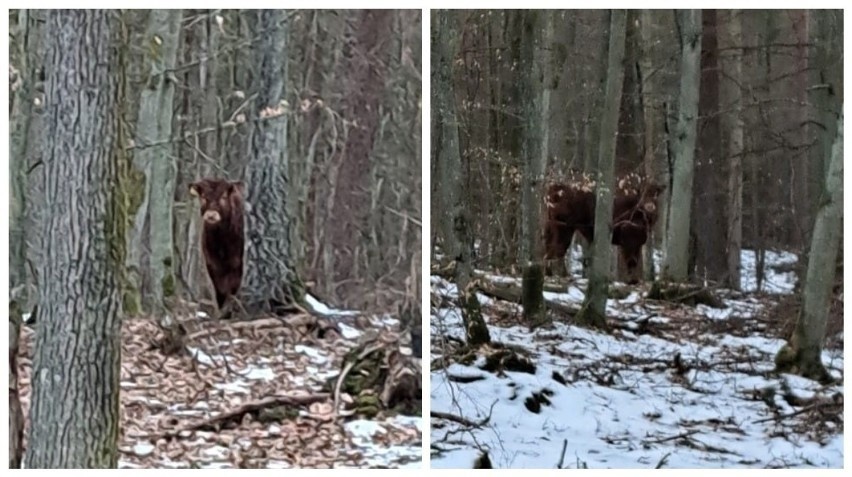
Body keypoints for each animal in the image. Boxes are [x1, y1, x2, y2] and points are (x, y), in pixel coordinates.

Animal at [190, 178, 246, 308]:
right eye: (203, 196)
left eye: (223, 196)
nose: (211, 215)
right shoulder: (211, 262)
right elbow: (219, 288)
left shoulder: (237, 261)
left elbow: (233, 287)